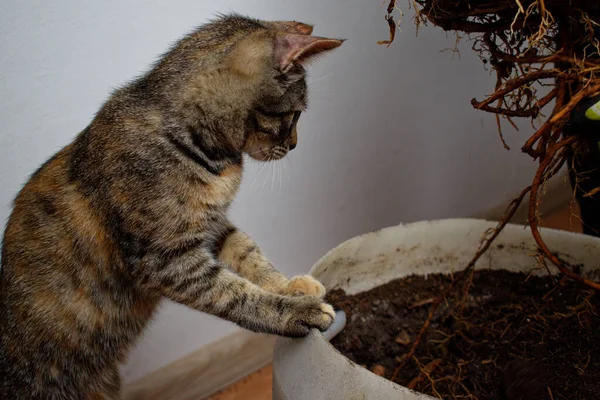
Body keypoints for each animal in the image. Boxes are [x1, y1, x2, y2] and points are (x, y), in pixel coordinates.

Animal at [0, 14, 344, 398]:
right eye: (295, 115)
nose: (296, 144)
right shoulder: (167, 260)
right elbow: (235, 295)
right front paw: (294, 311)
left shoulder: (213, 225)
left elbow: (249, 254)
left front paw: (290, 286)